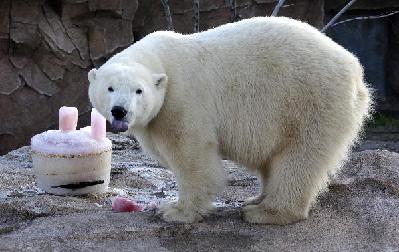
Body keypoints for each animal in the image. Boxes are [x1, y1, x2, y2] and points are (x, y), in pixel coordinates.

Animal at [87, 16, 372, 223]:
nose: (120, 111)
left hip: (309, 101)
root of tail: (356, 71)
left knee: (299, 158)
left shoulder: (182, 99)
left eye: (139, 91)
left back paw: (266, 212)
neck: (161, 59)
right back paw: (255, 200)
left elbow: (191, 155)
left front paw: (175, 211)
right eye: (110, 88)